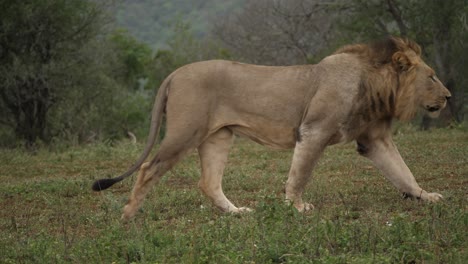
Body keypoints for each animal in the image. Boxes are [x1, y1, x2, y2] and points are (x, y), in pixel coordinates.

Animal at [90, 36, 450, 220]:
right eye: (432, 76)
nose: (448, 96)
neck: (377, 86)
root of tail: (174, 73)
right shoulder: (313, 131)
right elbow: (300, 174)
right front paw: (297, 207)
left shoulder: (374, 140)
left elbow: (403, 172)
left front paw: (426, 196)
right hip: (185, 132)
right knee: (148, 168)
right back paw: (128, 216)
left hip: (218, 137)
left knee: (209, 182)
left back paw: (237, 213)